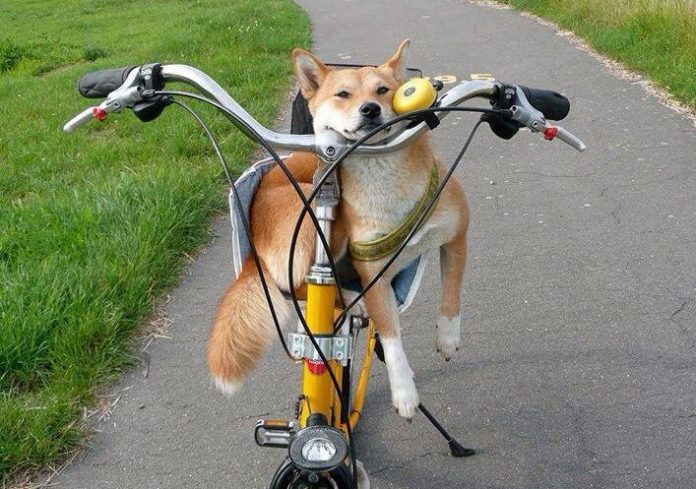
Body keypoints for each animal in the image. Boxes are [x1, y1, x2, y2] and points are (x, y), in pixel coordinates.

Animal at [207, 39, 468, 420]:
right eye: (343, 94)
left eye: (383, 90)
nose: (370, 109)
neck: (386, 182)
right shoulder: (373, 274)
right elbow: (391, 338)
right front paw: (404, 390)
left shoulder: (457, 236)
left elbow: (451, 293)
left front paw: (447, 337)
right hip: (318, 220)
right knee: (299, 286)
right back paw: (348, 300)